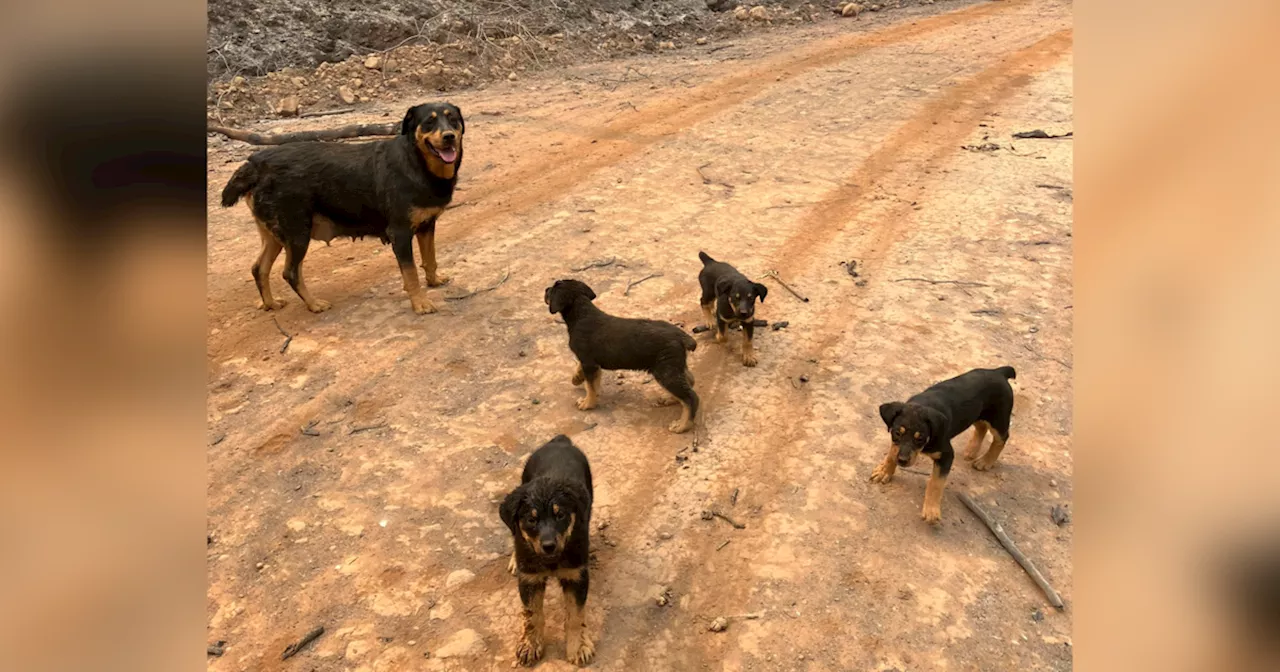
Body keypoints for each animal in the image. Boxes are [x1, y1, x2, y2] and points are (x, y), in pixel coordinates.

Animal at [222, 101, 468, 314]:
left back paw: (270, 303)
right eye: (429, 122)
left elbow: (430, 259)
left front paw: (434, 281)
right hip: (297, 233)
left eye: (453, 119)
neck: (416, 162)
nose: (449, 137)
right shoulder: (400, 233)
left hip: (274, 234)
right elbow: (411, 273)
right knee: (290, 272)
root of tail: (255, 164)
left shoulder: (426, 225)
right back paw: (314, 304)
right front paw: (420, 303)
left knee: (259, 268)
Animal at [501, 435, 596, 665]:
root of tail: (560, 441)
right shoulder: (530, 578)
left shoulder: (576, 575)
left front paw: (578, 647)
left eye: (560, 515)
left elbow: (575, 615)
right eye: (531, 520)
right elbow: (532, 615)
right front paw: (530, 645)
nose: (548, 546)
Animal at [542, 279, 701, 432]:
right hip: (673, 366)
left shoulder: (589, 363)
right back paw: (670, 399)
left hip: (665, 371)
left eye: (553, 289)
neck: (581, 314)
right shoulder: (589, 363)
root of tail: (682, 337)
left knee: (691, 397)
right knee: (690, 381)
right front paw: (576, 379)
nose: (545, 289)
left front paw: (588, 403)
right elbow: (586, 377)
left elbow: (591, 387)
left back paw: (683, 425)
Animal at [870, 363, 1018, 522]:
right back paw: (971, 450)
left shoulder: (946, 454)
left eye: (920, 438)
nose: (902, 461)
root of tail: (999, 372)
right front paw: (884, 471)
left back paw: (985, 461)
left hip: (999, 418)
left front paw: (931, 510)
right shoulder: (896, 443)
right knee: (981, 427)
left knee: (1002, 438)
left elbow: (936, 482)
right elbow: (892, 452)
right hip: (977, 414)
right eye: (897, 433)